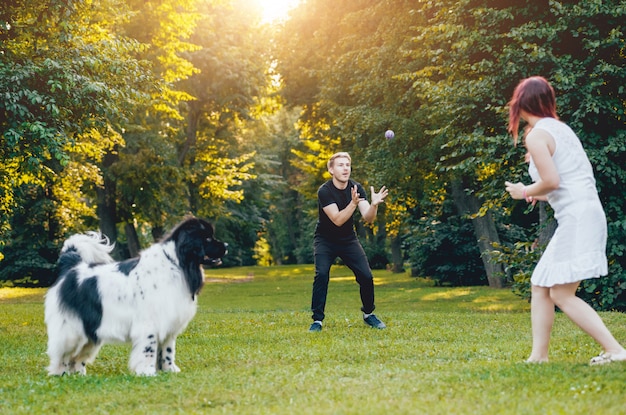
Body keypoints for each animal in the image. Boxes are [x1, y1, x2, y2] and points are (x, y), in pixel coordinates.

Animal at [45, 218, 227, 376]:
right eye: (208, 238)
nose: (226, 245)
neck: (177, 264)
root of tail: (71, 268)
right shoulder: (149, 324)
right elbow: (149, 349)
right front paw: (147, 372)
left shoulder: (169, 324)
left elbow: (168, 350)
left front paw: (169, 370)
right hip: (71, 330)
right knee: (62, 355)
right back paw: (59, 373)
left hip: (91, 331)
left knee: (77, 357)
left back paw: (79, 375)